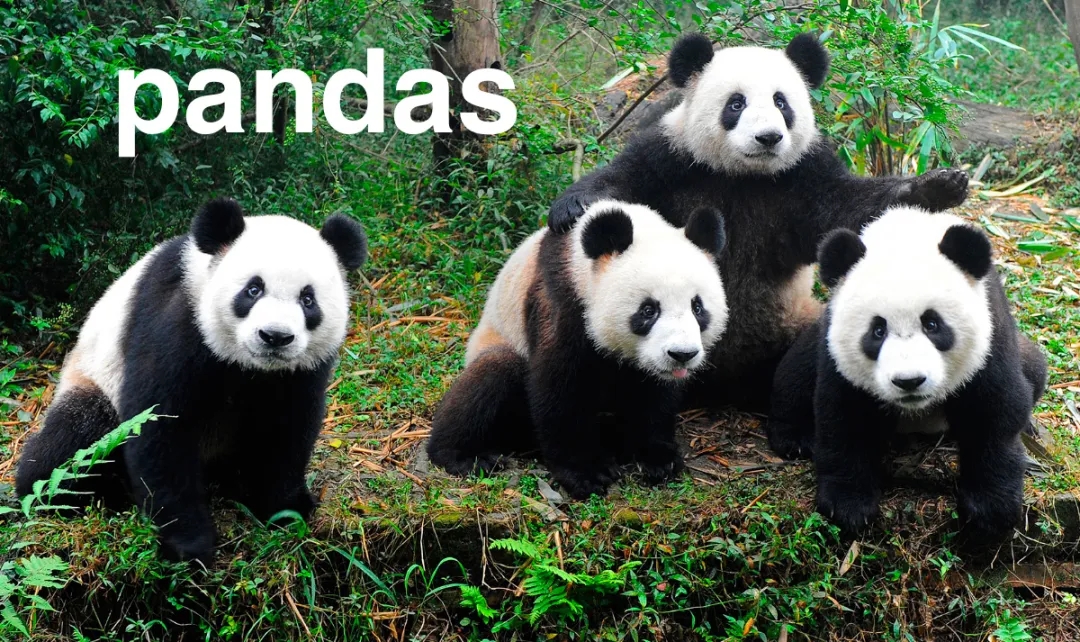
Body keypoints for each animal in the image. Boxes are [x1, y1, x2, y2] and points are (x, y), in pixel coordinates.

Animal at [15, 198, 368, 565]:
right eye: (253, 289)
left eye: (307, 299)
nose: (275, 336)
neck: (249, 365)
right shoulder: (177, 320)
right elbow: (160, 427)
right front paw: (188, 545)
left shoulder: (300, 370)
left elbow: (286, 429)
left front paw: (287, 509)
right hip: (93, 379)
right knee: (75, 441)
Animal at [426, 200, 729, 499]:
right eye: (648, 310)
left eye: (697, 307)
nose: (682, 354)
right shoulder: (561, 299)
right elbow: (558, 387)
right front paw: (586, 474)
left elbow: (654, 395)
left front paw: (658, 458)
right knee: (492, 374)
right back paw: (462, 455)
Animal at [548, 33, 970, 410]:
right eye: (736, 103)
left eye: (781, 102)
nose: (768, 137)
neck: (744, 175)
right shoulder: (673, 159)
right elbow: (623, 180)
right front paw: (571, 208)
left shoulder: (803, 175)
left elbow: (849, 209)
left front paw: (938, 186)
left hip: (793, 321)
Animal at [766, 206, 1047, 543]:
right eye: (877, 330)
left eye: (932, 324)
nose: (909, 381)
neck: (906, 235)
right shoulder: (837, 353)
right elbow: (844, 418)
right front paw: (848, 506)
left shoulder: (991, 335)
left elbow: (995, 412)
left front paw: (990, 511)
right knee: (796, 372)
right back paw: (794, 438)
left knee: (1035, 368)